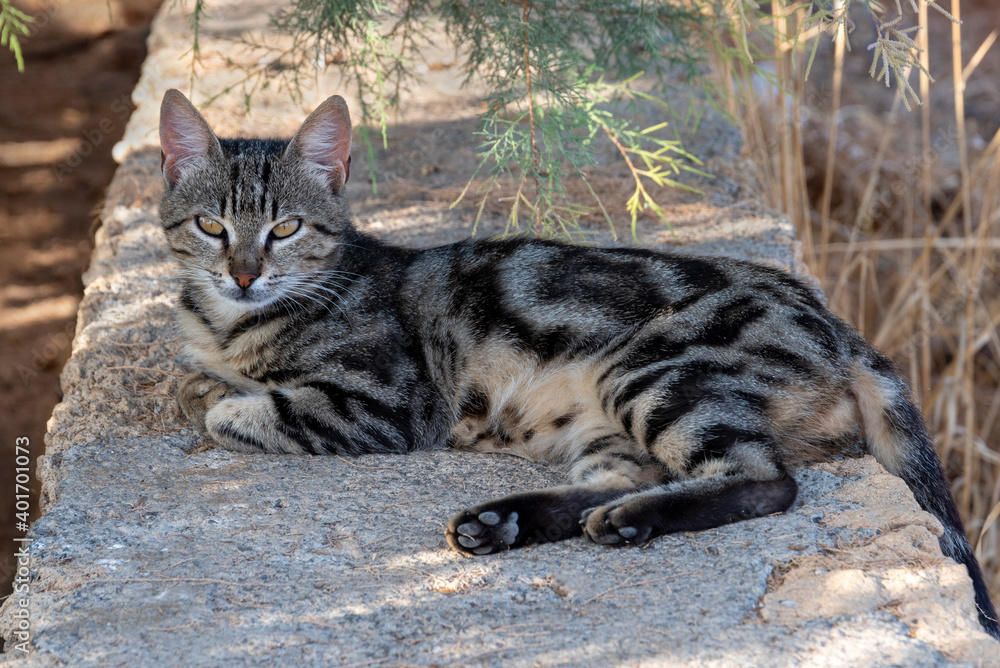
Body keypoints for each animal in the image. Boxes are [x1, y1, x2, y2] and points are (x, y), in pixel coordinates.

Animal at [160, 88, 996, 636]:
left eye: (286, 228)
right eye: (210, 226)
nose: (243, 274)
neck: (232, 322)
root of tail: (835, 321)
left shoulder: (382, 404)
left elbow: (237, 407)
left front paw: (217, 397)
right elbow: (203, 376)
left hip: (653, 371)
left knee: (762, 480)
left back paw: (624, 521)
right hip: (603, 421)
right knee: (629, 478)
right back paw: (504, 521)